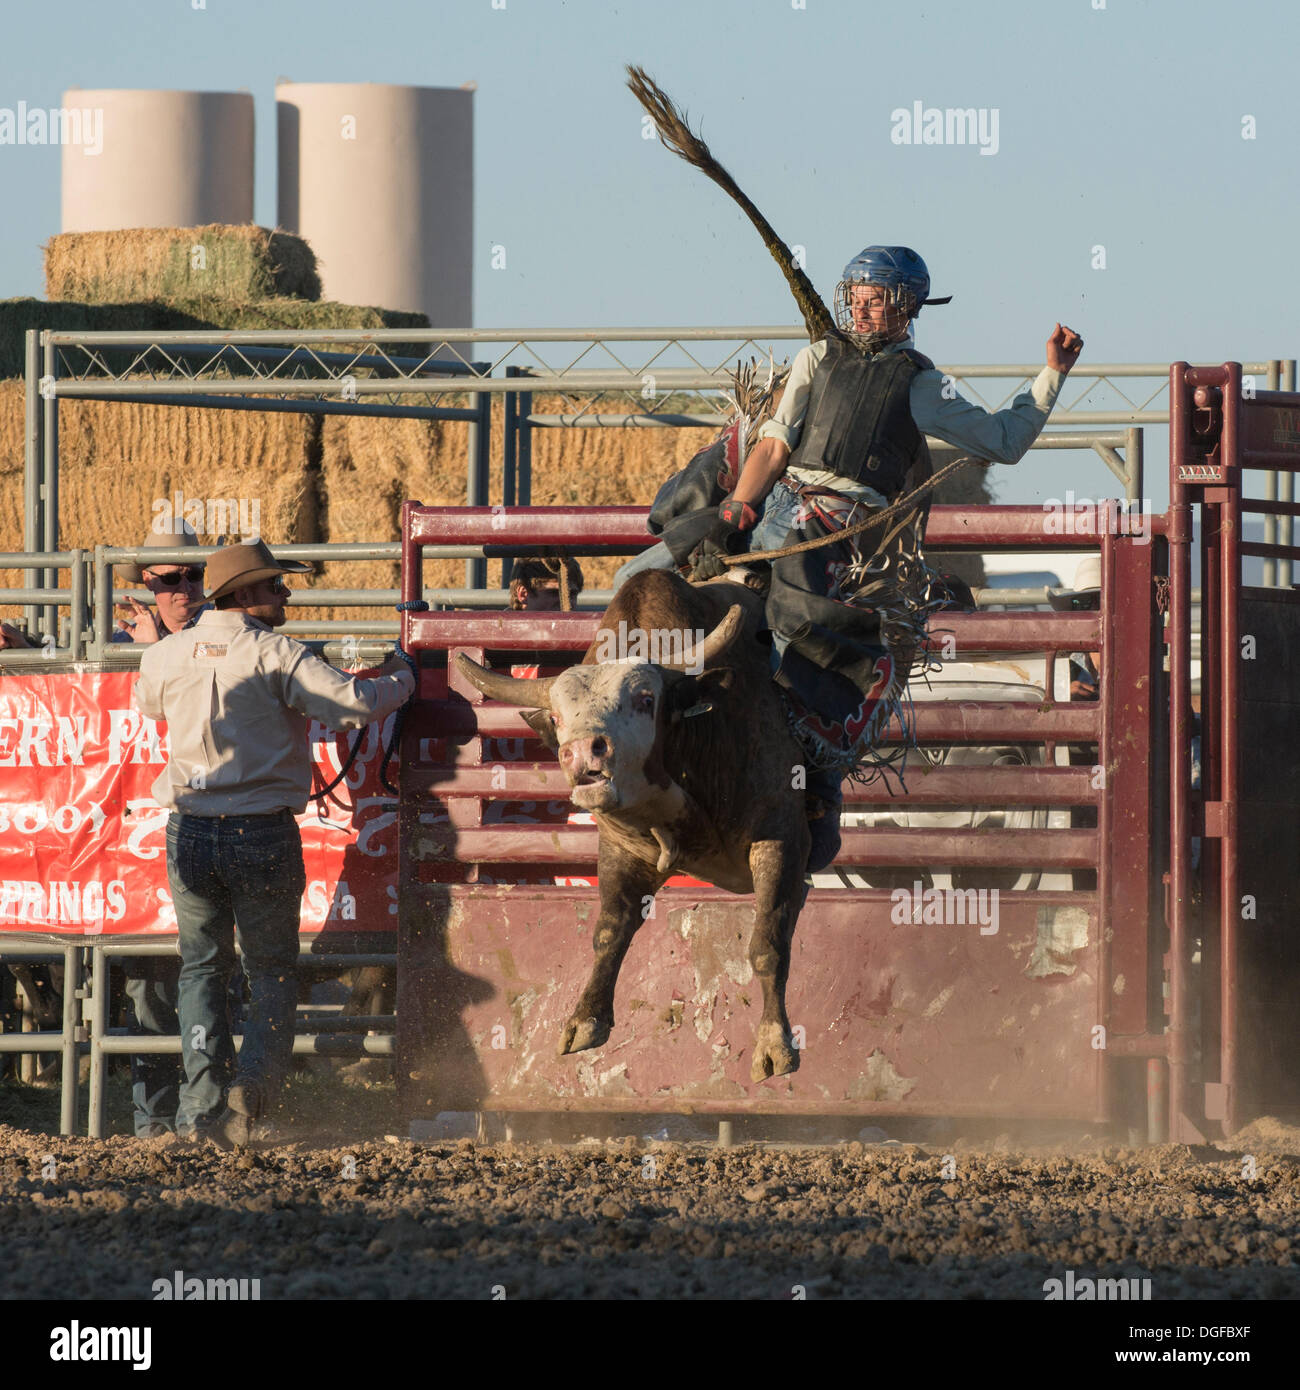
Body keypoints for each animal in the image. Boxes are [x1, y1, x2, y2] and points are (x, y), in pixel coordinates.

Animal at [453, 569, 806, 1078]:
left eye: (644, 698)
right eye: (557, 716)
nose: (581, 751)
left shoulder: (782, 838)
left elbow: (768, 941)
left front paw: (775, 1041)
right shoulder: (622, 851)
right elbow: (609, 931)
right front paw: (586, 1018)